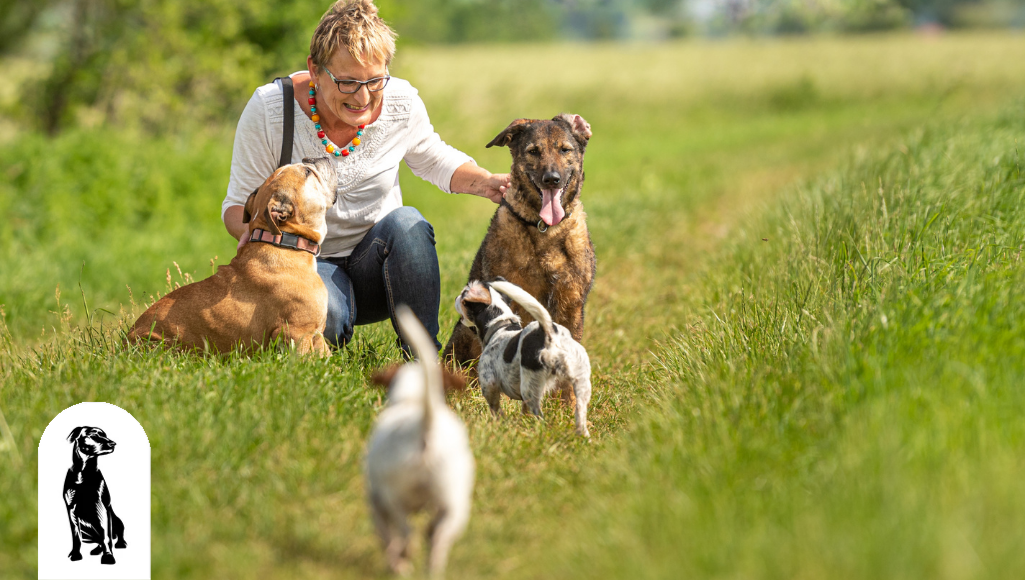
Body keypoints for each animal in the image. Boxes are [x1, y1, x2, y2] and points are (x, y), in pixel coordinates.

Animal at [127, 158, 336, 358]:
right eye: (307, 172)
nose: (313, 157)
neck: (284, 241)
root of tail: (126, 342)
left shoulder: (316, 335)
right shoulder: (297, 333)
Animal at [364, 307, 475, 577]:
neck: (413, 399)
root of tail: (426, 426)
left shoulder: (377, 500)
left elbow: (385, 534)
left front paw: (396, 559)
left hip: (395, 497)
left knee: (406, 532)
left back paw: (402, 560)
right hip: (454, 502)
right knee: (438, 537)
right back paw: (430, 566)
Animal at [444, 114, 598, 403]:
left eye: (565, 150)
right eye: (533, 151)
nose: (552, 179)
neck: (546, 228)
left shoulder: (571, 304)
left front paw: (567, 409)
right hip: (461, 335)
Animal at [457, 280, 594, 436]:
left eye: (463, 295)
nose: (456, 297)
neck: (500, 326)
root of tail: (551, 334)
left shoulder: (489, 384)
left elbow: (495, 409)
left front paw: (500, 424)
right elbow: (523, 410)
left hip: (529, 388)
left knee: (540, 416)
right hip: (581, 384)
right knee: (580, 416)